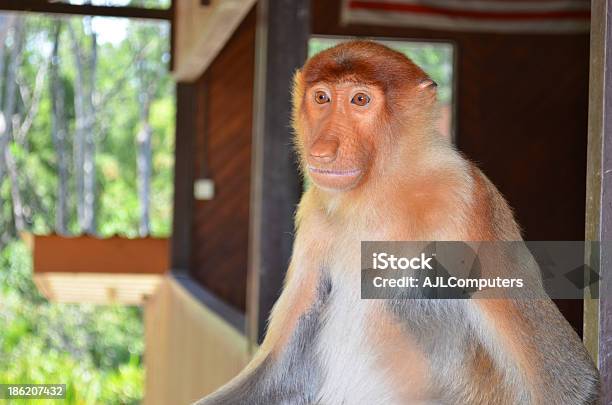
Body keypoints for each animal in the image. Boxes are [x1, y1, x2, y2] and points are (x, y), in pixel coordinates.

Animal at [197, 39, 604, 402]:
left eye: (360, 100)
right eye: (322, 98)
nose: (322, 151)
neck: (380, 189)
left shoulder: (466, 201)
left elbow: (571, 381)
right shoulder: (314, 215)